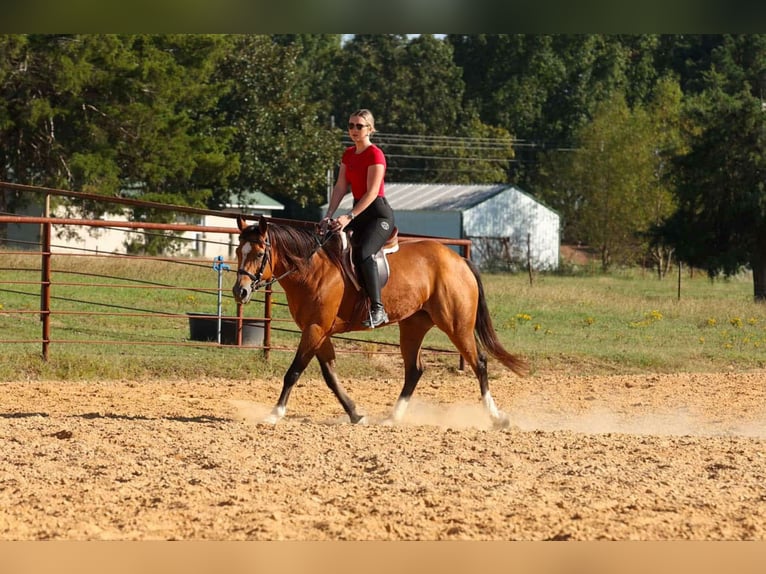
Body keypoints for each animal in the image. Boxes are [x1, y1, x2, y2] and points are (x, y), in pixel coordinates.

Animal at [231, 215, 528, 427]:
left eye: (259, 254)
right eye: (237, 252)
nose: (240, 291)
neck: (312, 269)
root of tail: (459, 260)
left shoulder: (315, 329)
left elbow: (294, 371)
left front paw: (274, 413)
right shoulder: (319, 331)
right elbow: (330, 375)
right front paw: (355, 414)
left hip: (457, 325)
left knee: (479, 363)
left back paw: (497, 418)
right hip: (413, 326)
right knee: (415, 369)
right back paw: (392, 418)